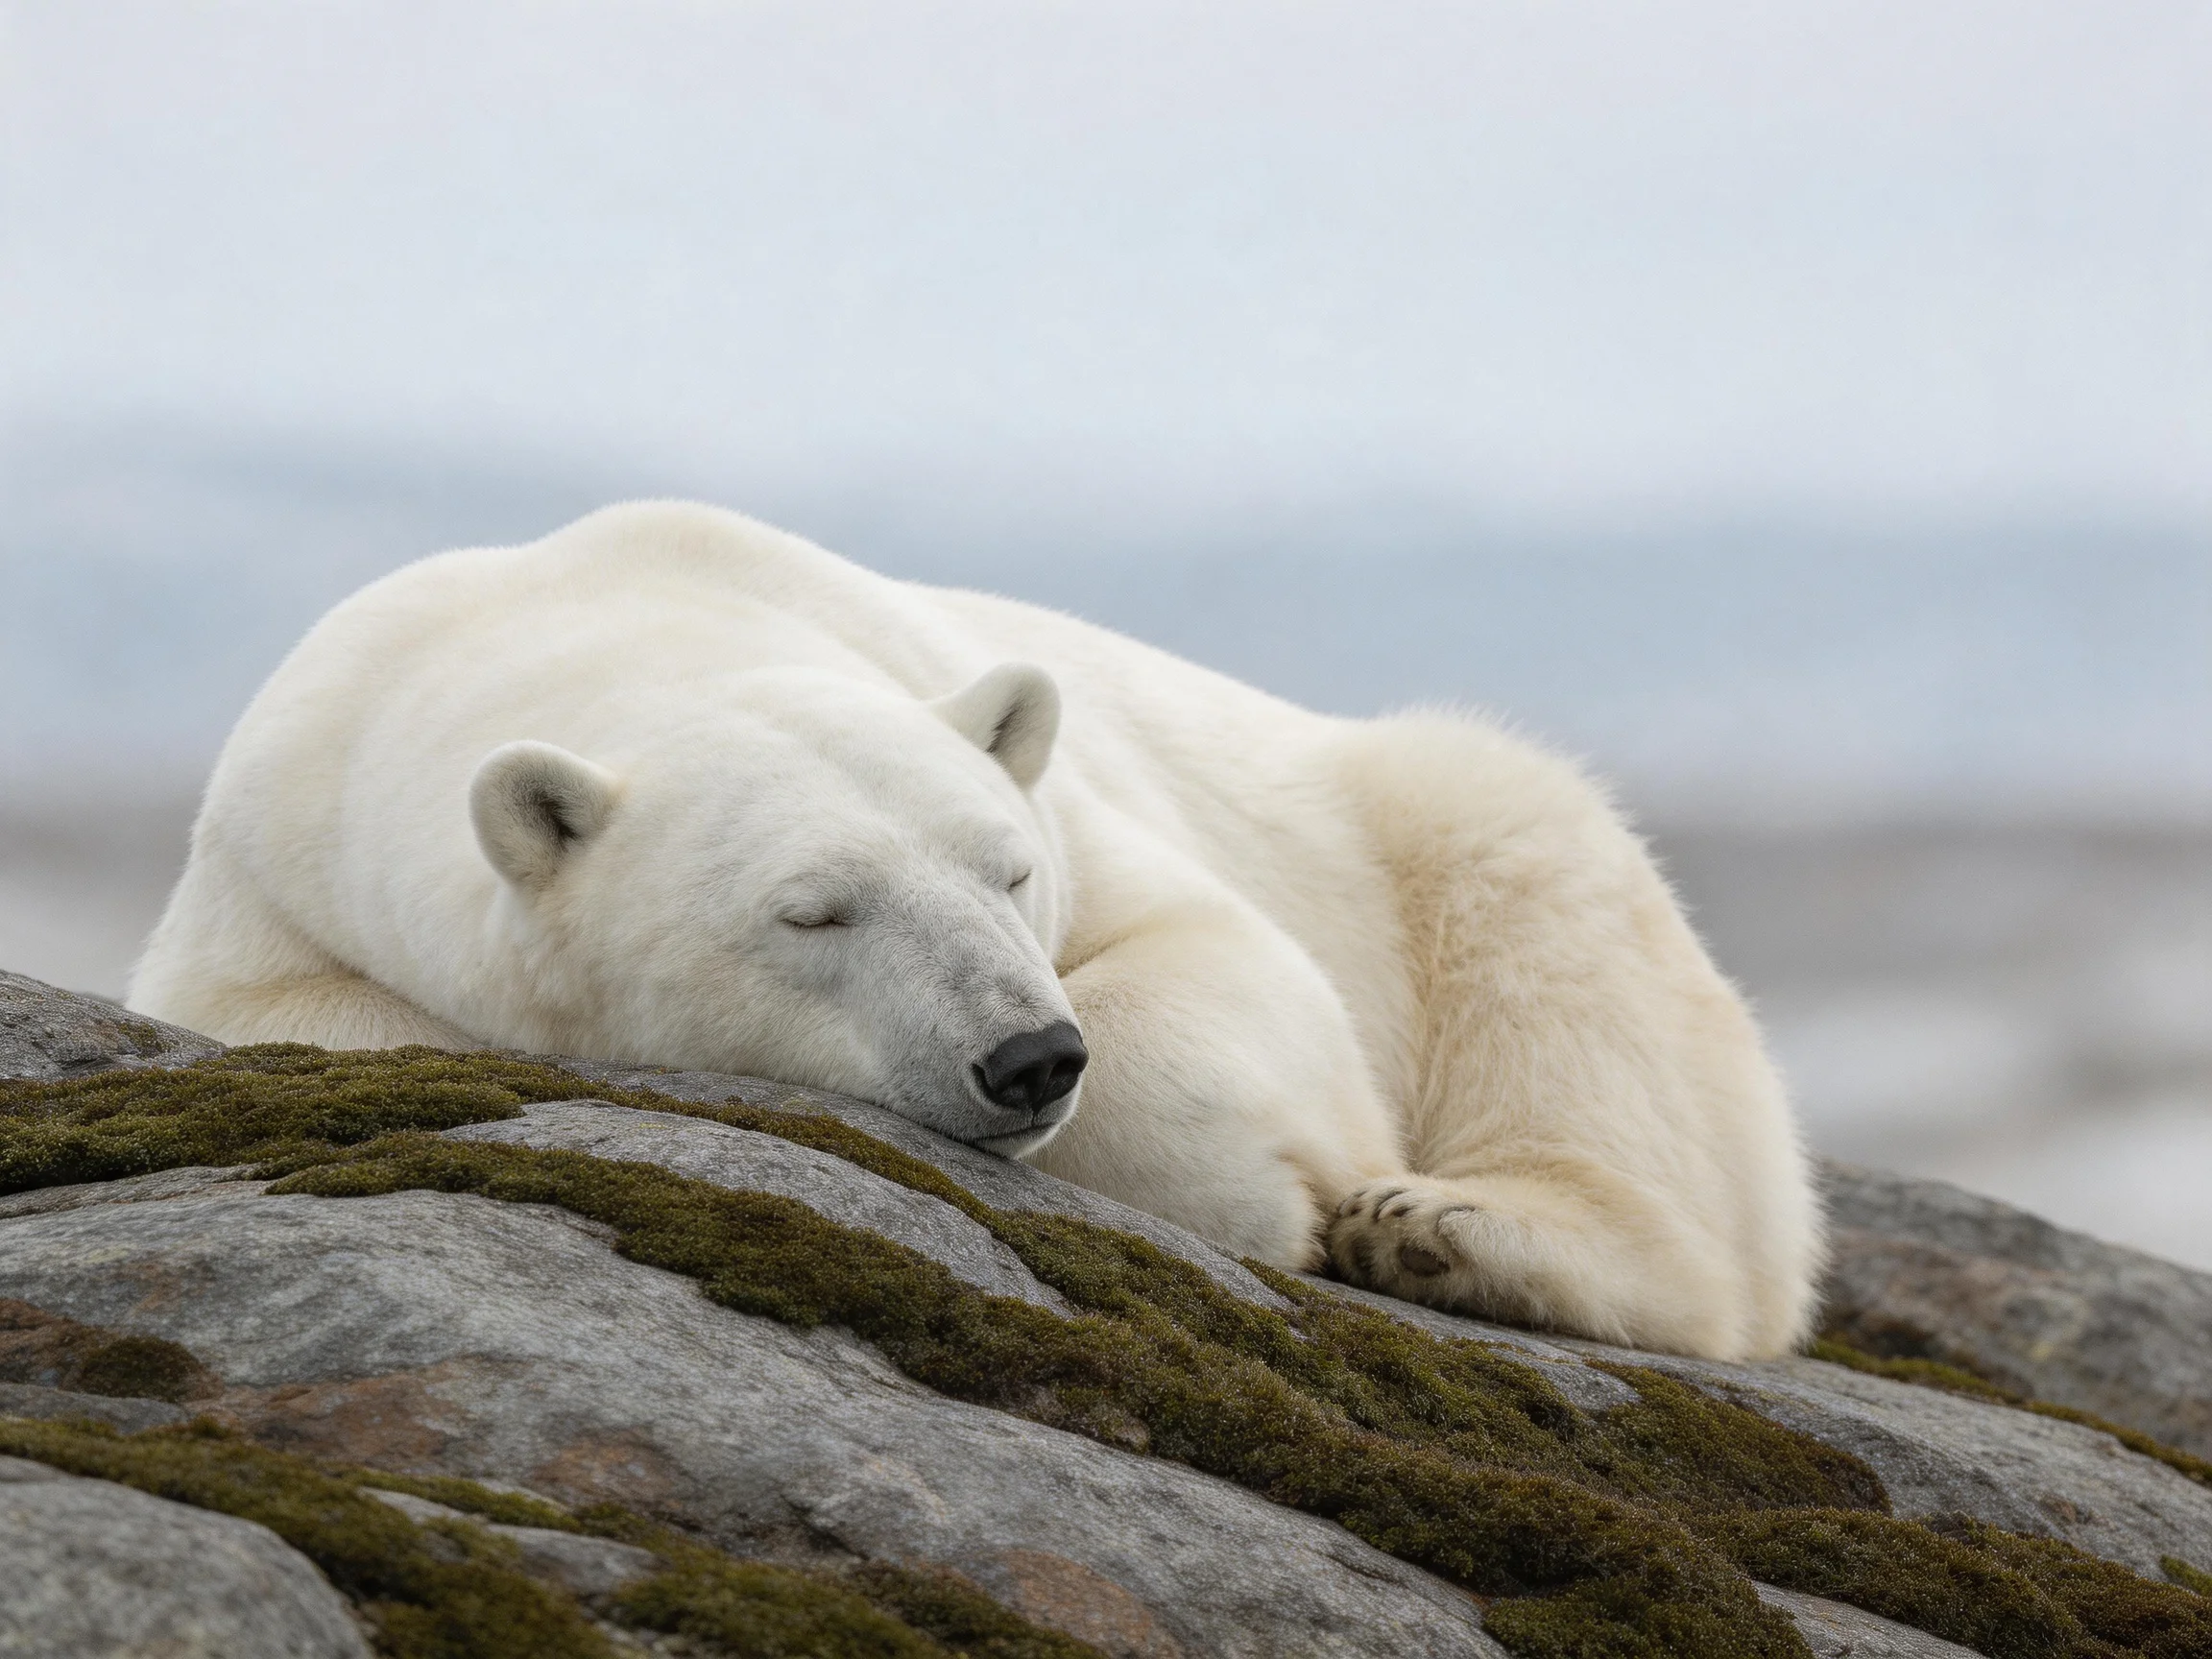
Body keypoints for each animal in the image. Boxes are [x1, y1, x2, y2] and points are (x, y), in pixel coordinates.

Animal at [129, 501, 1822, 1360]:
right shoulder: (275, 865)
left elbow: (1220, 953)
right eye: (815, 910)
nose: (1028, 1058)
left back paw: (1450, 1229)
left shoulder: (1090, 808)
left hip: (1421, 822)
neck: (609, 616)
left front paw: (1289, 1193)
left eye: (1004, 871)